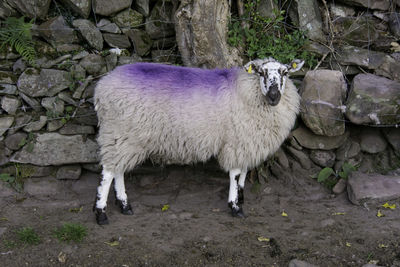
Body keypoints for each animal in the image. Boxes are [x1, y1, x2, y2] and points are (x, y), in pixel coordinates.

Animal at [92, 57, 304, 225]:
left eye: (285, 72)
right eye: (261, 72)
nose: (274, 96)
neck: (249, 92)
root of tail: (102, 86)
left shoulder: (246, 141)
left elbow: (244, 172)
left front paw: (241, 196)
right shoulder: (236, 141)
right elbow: (235, 174)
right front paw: (235, 206)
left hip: (124, 139)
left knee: (118, 170)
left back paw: (124, 205)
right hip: (118, 131)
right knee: (108, 173)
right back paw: (101, 213)